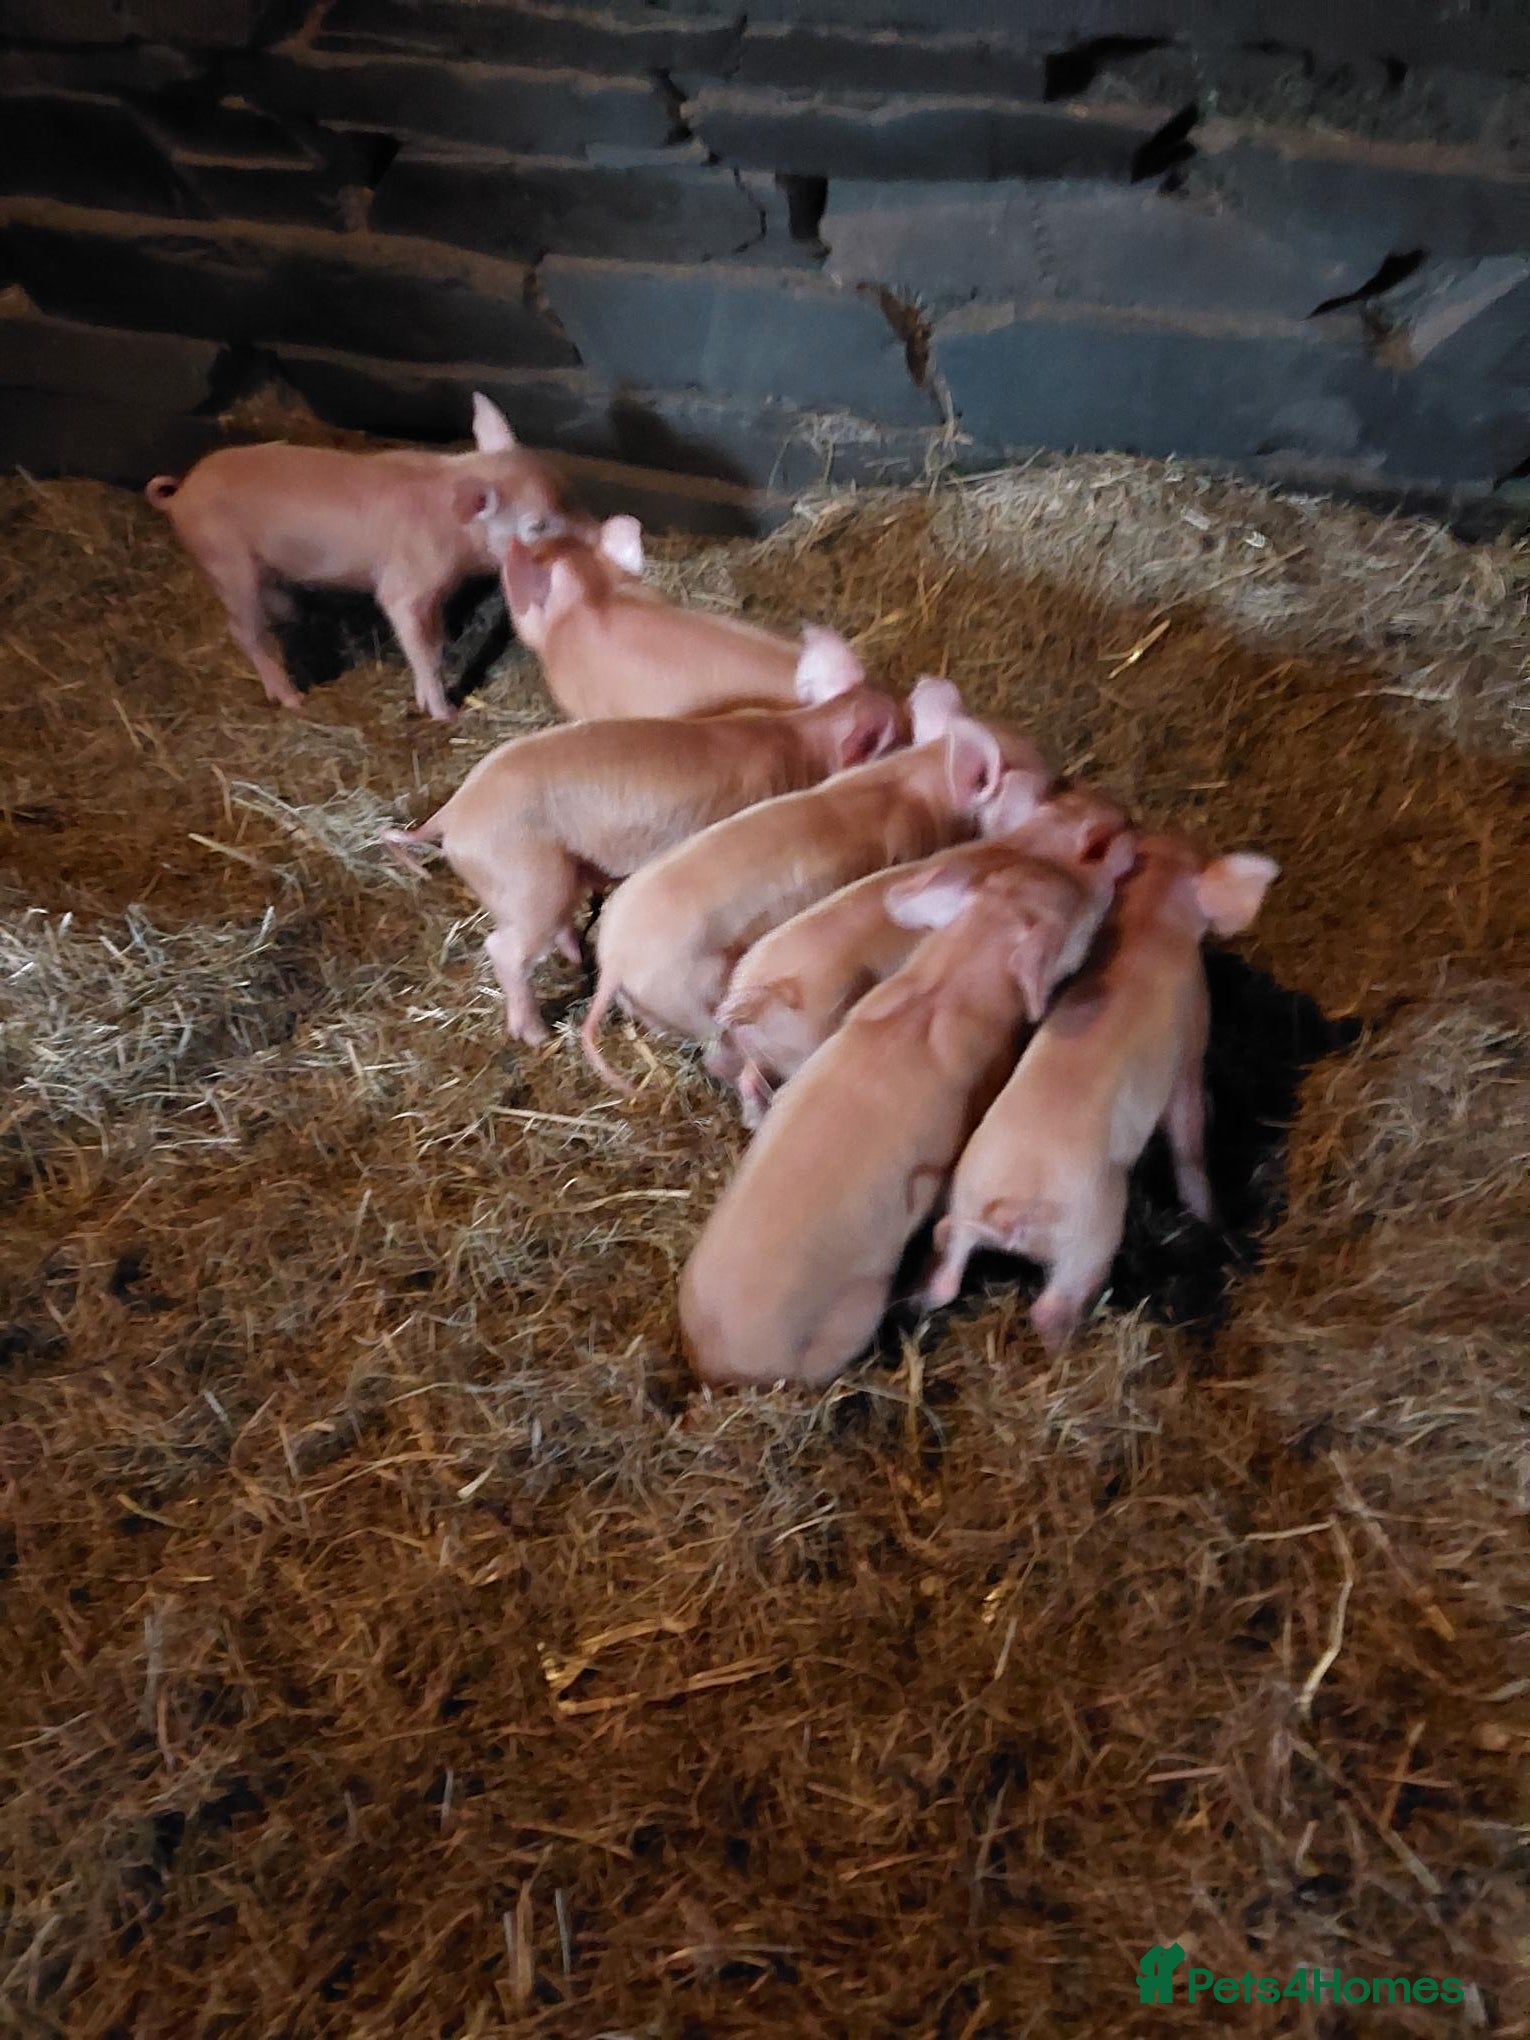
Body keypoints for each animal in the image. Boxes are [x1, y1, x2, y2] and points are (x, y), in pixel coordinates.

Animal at [146, 394, 585, 722]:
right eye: (535, 526)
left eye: (565, 495)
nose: (591, 535)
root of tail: (181, 495)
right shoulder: (405, 586)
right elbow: (423, 647)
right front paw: (445, 714)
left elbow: (433, 639)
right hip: (225, 561)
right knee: (244, 630)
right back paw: (291, 699)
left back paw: (292, 611)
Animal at [384, 636, 899, 1045]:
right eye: (896, 738)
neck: (800, 741)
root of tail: (452, 814)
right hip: (528, 879)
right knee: (506, 949)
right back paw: (536, 1035)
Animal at [717, 782, 1131, 1125]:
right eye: (1114, 824)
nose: (1124, 810)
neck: (1036, 844)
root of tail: (757, 995)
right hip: (802, 1047)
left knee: (749, 1079)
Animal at [919, 835, 1280, 1353]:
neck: (1151, 920)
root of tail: (1008, 1212)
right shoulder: (1191, 1036)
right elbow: (1188, 1137)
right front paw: (1211, 1218)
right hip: (1089, 1238)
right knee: (1052, 1308)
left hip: (960, 1205)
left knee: (944, 1279)